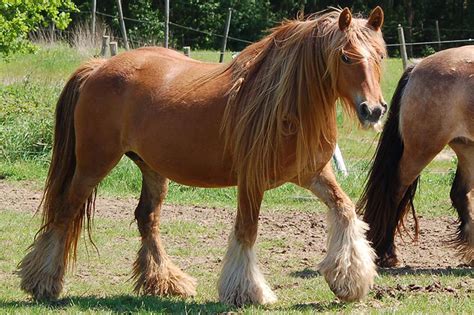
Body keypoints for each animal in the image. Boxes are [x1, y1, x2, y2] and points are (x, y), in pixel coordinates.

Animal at [20, 8, 386, 306]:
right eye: (346, 57)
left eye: (381, 56)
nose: (374, 109)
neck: (285, 104)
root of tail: (100, 67)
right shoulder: (250, 182)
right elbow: (247, 231)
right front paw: (246, 292)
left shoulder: (313, 174)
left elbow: (345, 210)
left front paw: (348, 280)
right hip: (93, 164)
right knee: (65, 211)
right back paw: (43, 282)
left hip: (152, 168)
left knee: (146, 218)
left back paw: (165, 281)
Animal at [360, 46, 474, 270]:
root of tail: (417, 66)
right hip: (422, 149)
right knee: (396, 189)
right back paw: (386, 253)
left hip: (466, 147)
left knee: (460, 194)